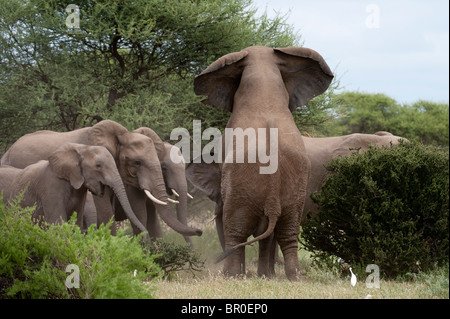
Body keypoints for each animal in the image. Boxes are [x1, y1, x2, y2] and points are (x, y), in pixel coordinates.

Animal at [192, 45, 332, 280]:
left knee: (235, 232)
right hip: (294, 193)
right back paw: (293, 278)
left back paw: (231, 276)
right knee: (287, 232)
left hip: (240, 191)